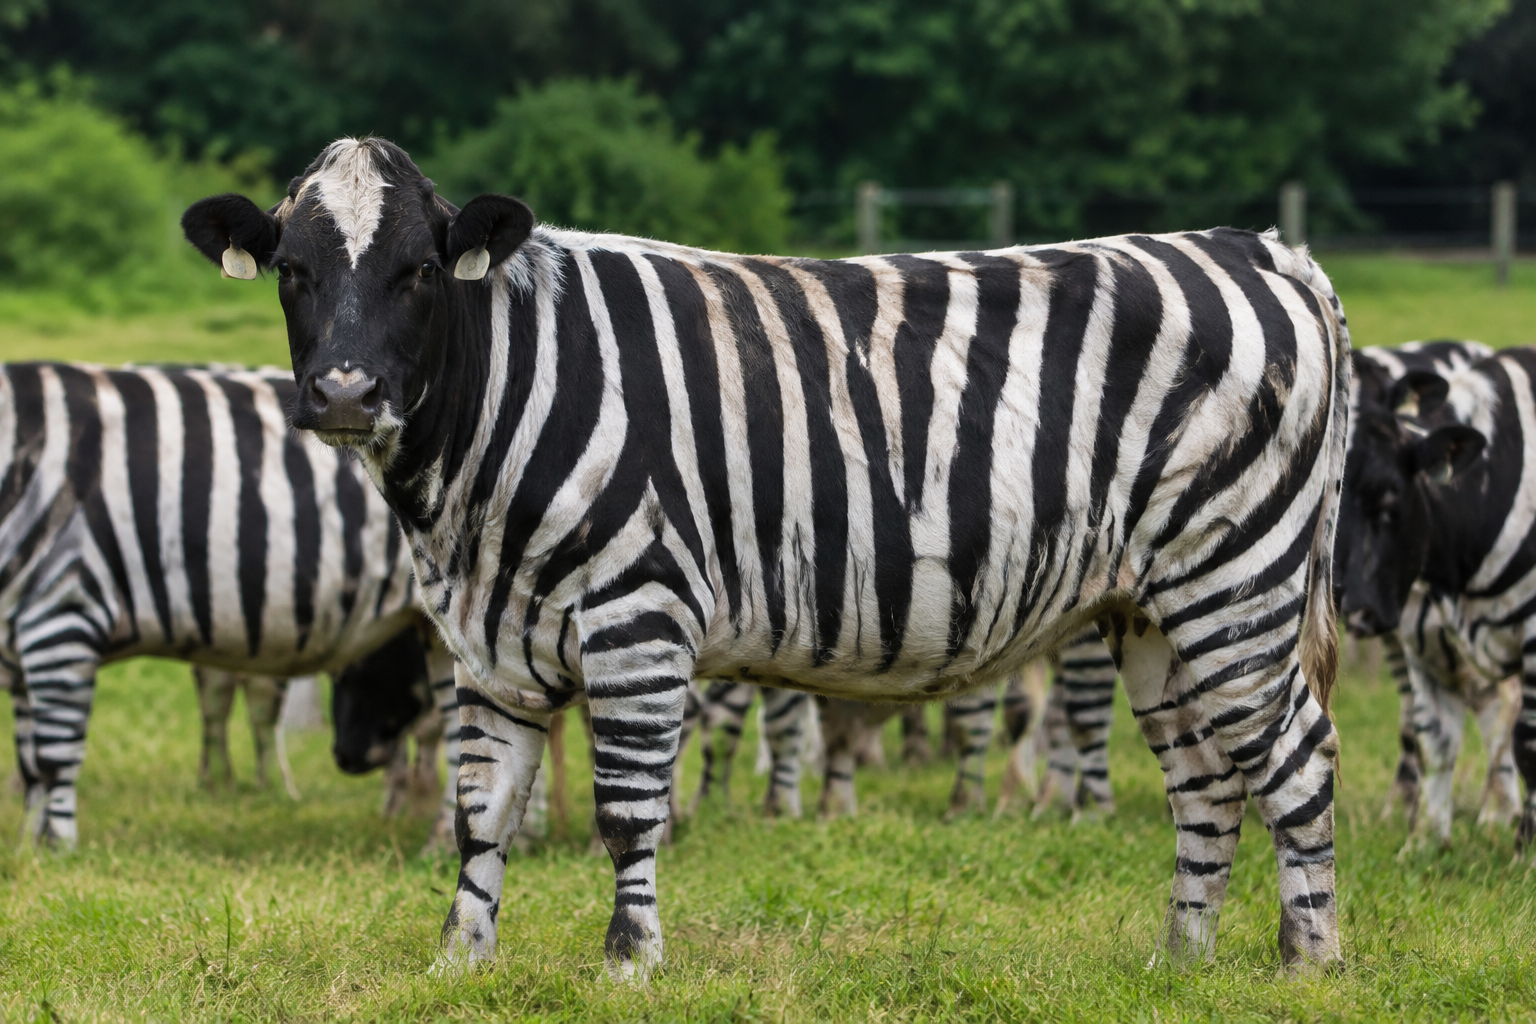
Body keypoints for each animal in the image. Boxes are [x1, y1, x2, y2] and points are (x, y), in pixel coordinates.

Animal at [0, 361, 444, 847]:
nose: (348, 758)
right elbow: (29, 762)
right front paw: (27, 847)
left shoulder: (63, 606)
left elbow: (53, 759)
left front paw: (59, 850)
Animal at [183, 136, 1350, 975]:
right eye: (291, 273)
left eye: (422, 272)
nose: (344, 395)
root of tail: (1262, 248)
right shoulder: (485, 641)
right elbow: (481, 812)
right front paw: (459, 965)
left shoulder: (639, 615)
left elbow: (628, 809)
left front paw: (629, 964)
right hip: (1151, 609)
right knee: (1206, 779)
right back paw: (1182, 963)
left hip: (1234, 578)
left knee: (1297, 758)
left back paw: (1312, 963)